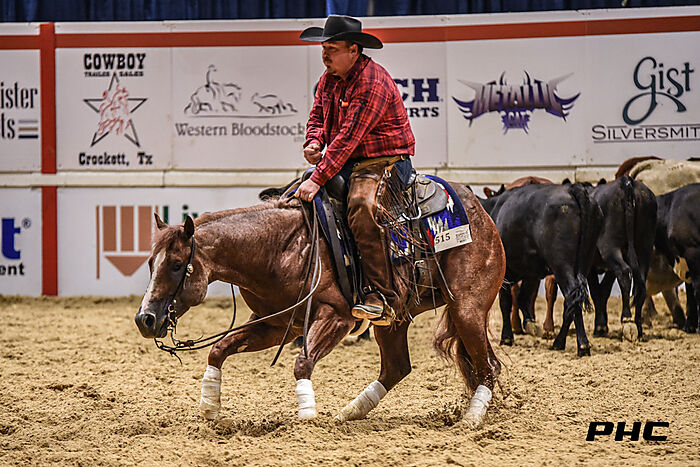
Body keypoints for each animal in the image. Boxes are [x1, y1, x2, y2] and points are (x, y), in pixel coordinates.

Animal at [134, 185, 506, 427]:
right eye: (151, 262)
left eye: (177, 264)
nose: (145, 319)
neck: (278, 248)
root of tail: (481, 213)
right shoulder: (274, 323)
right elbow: (218, 350)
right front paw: (209, 406)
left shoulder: (335, 317)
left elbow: (302, 363)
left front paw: (307, 414)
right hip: (395, 319)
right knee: (397, 367)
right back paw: (350, 412)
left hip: (466, 309)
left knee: (488, 365)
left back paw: (472, 418)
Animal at [480, 183, 602, 356]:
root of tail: (572, 188)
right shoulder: (531, 273)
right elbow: (523, 297)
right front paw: (531, 325)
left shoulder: (505, 273)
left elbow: (505, 302)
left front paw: (507, 337)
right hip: (584, 261)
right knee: (570, 302)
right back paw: (559, 342)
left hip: (561, 264)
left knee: (573, 298)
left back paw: (582, 345)